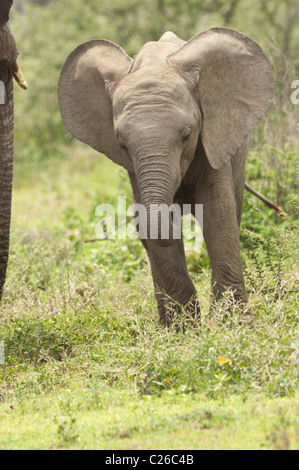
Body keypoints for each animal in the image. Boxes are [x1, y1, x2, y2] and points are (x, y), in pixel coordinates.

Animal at [58, 27, 274, 324]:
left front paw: (233, 324)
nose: (175, 217)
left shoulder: (213, 141)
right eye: (122, 144)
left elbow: (218, 214)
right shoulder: (134, 170)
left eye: (187, 136)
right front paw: (183, 329)